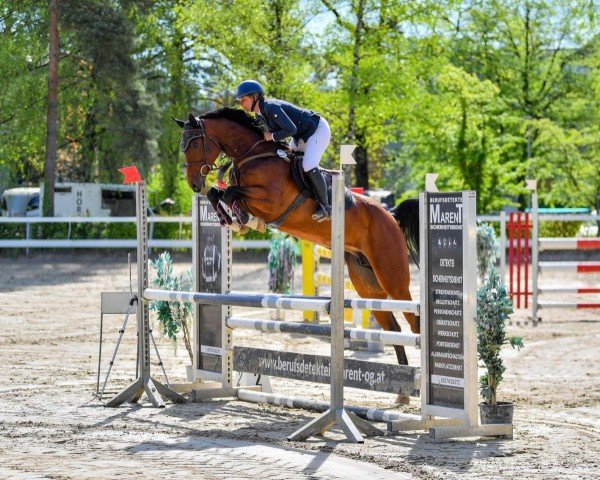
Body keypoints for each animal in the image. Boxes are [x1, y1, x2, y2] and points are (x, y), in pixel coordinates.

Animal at [175, 108, 422, 402]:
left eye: (193, 144)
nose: (193, 184)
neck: (251, 155)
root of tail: (391, 216)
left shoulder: (271, 200)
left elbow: (233, 192)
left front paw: (241, 218)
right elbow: (218, 192)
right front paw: (233, 219)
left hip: (393, 279)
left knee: (415, 324)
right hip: (368, 286)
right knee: (393, 328)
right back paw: (403, 393)